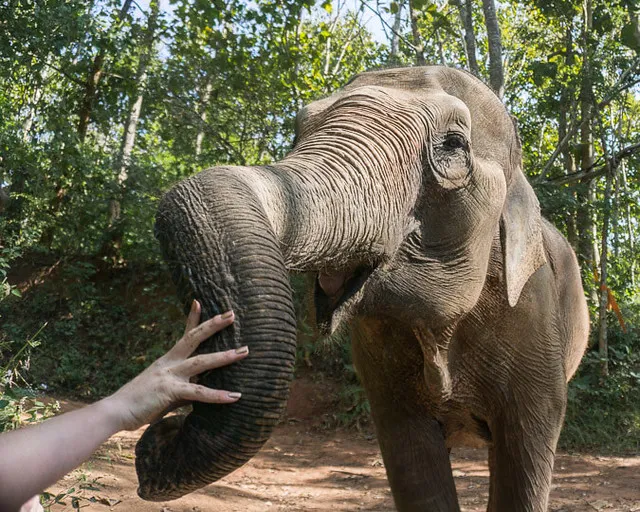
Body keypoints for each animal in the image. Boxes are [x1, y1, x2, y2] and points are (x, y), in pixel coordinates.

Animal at [135, 67, 592, 512]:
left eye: (453, 144)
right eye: (299, 129)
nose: (157, 437)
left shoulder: (534, 321)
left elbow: (524, 456)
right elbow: (412, 462)